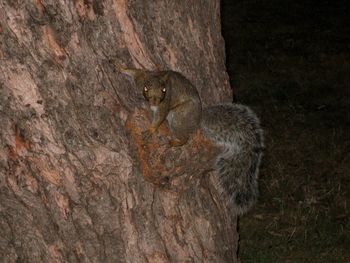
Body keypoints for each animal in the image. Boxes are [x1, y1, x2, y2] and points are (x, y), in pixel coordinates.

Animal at [113, 63, 264, 216]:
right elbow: (136, 72)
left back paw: (175, 142)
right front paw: (121, 67)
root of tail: (198, 119)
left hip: (178, 117)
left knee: (184, 137)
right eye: (146, 88)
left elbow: (160, 116)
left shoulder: (165, 103)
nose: (155, 101)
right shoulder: (142, 78)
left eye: (163, 90)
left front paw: (152, 129)